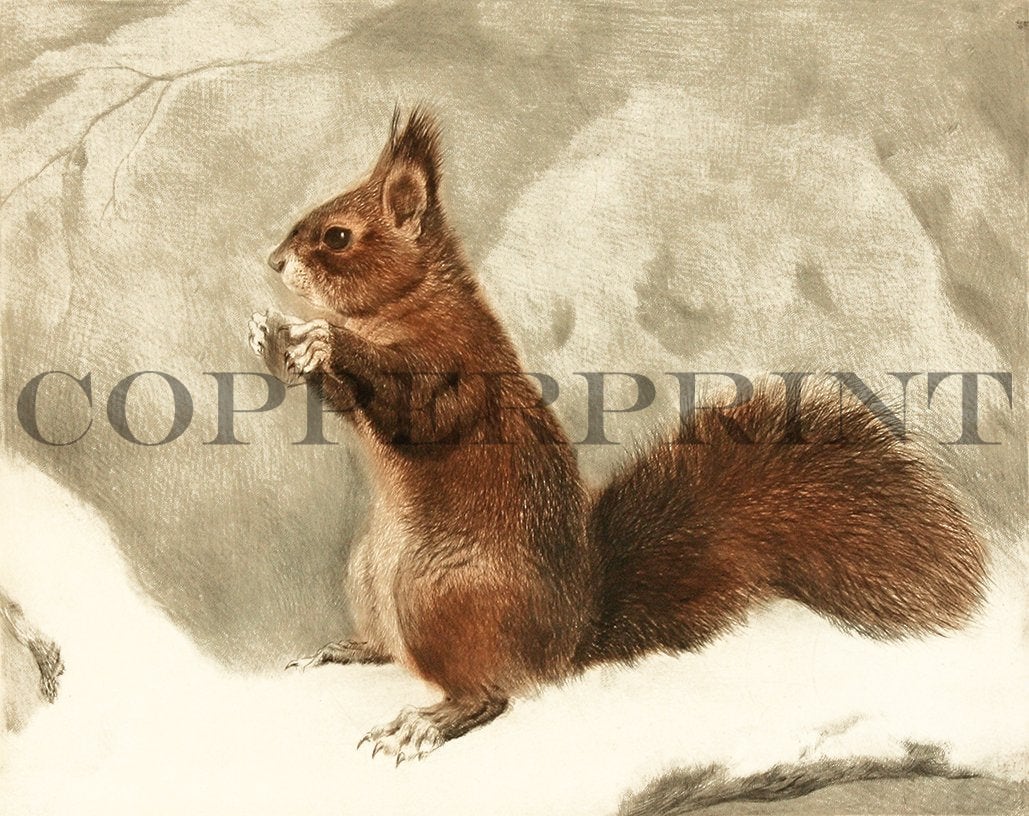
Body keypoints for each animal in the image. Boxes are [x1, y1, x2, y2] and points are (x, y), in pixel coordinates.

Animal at [248, 108, 986, 764]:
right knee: (403, 652)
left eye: (337, 236)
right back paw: (350, 648)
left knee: (490, 694)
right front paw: (273, 339)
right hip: (370, 578)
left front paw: (321, 335)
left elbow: (416, 408)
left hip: (447, 602)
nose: (275, 261)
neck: (408, 303)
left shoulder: (454, 370)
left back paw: (426, 721)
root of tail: (567, 645)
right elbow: (345, 402)